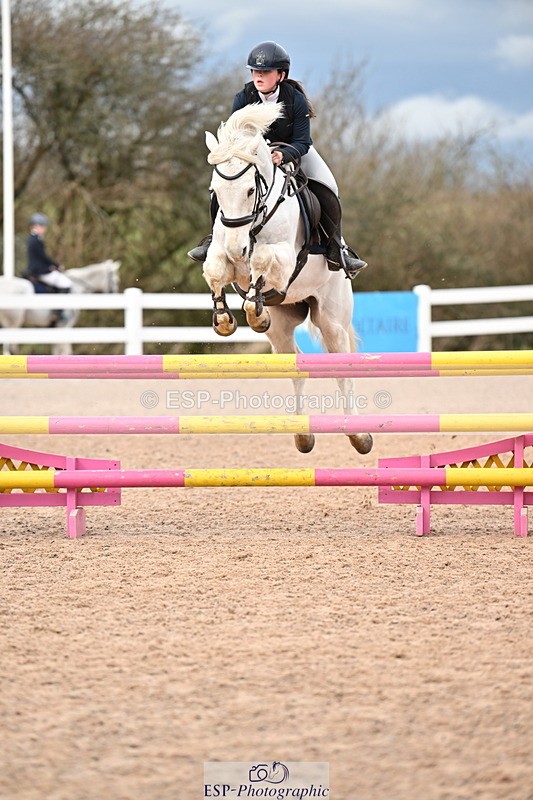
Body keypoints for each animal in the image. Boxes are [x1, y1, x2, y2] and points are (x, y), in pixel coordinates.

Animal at [201, 103, 372, 456]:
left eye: (250, 189)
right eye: (215, 192)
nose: (237, 250)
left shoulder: (283, 256)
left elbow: (261, 260)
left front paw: (253, 311)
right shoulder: (223, 251)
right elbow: (216, 268)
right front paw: (225, 319)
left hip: (331, 319)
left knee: (342, 370)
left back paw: (359, 436)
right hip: (283, 326)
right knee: (295, 364)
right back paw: (302, 435)